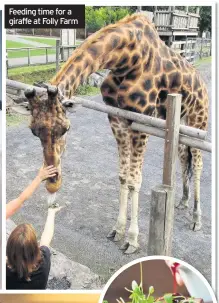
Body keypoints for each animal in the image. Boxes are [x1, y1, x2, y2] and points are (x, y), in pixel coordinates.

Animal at [24, 13, 209, 254]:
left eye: (66, 129)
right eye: (34, 132)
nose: (52, 184)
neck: (124, 60)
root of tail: (203, 85)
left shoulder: (140, 122)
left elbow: (134, 180)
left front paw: (132, 240)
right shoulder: (116, 119)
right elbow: (122, 176)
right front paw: (118, 230)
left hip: (199, 123)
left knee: (198, 164)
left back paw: (196, 219)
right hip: (181, 127)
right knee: (184, 157)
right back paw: (183, 202)